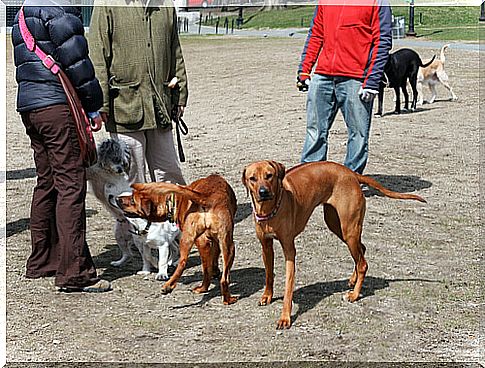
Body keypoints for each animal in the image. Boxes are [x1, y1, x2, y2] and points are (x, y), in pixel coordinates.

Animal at [87, 138, 180, 278]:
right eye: (115, 158)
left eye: (124, 162)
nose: (120, 170)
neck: (104, 170)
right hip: (119, 237)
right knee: (128, 254)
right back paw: (118, 262)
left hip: (139, 241)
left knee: (152, 254)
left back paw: (161, 263)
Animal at [117, 175, 238, 304]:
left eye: (132, 200)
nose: (118, 199)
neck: (174, 202)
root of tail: (206, 197)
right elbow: (214, 258)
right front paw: (215, 271)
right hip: (223, 244)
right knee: (219, 277)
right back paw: (223, 297)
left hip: (204, 242)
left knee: (188, 264)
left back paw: (171, 287)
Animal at [242, 160, 424, 330]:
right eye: (252, 179)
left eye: (269, 175)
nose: (263, 192)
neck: (269, 210)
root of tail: (351, 173)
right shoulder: (265, 246)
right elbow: (268, 274)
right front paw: (267, 296)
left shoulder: (289, 250)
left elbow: (288, 286)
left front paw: (285, 317)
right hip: (336, 224)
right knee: (362, 251)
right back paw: (352, 280)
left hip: (348, 228)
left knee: (363, 263)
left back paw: (354, 295)